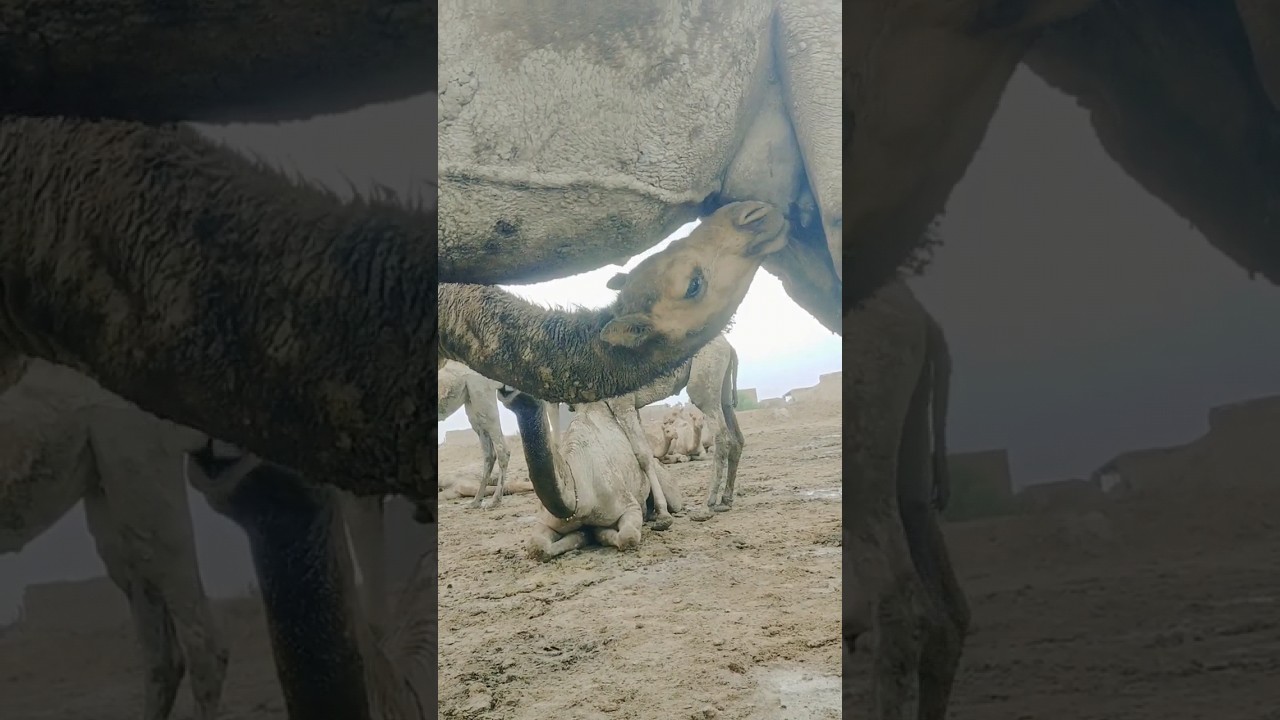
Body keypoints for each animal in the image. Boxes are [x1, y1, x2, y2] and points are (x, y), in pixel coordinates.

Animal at [437, 361, 512, 508]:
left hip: (481, 391)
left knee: (502, 450)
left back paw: (494, 501)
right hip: (471, 400)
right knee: (489, 453)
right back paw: (475, 502)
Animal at [496, 389, 682, 561]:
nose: (504, 390)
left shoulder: (628, 505)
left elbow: (627, 536)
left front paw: (596, 533)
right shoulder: (547, 521)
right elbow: (536, 546)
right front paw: (582, 535)